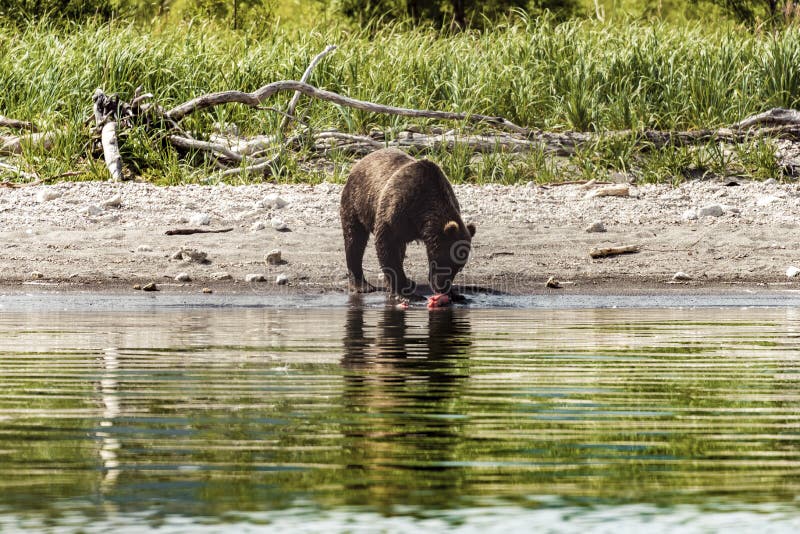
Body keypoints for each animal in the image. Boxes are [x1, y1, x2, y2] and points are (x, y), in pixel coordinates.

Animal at [340, 148, 476, 302]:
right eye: (445, 261)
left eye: (459, 267)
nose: (442, 287)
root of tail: (361, 160)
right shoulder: (397, 207)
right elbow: (387, 245)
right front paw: (407, 294)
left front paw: (455, 294)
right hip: (357, 201)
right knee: (354, 239)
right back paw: (362, 286)